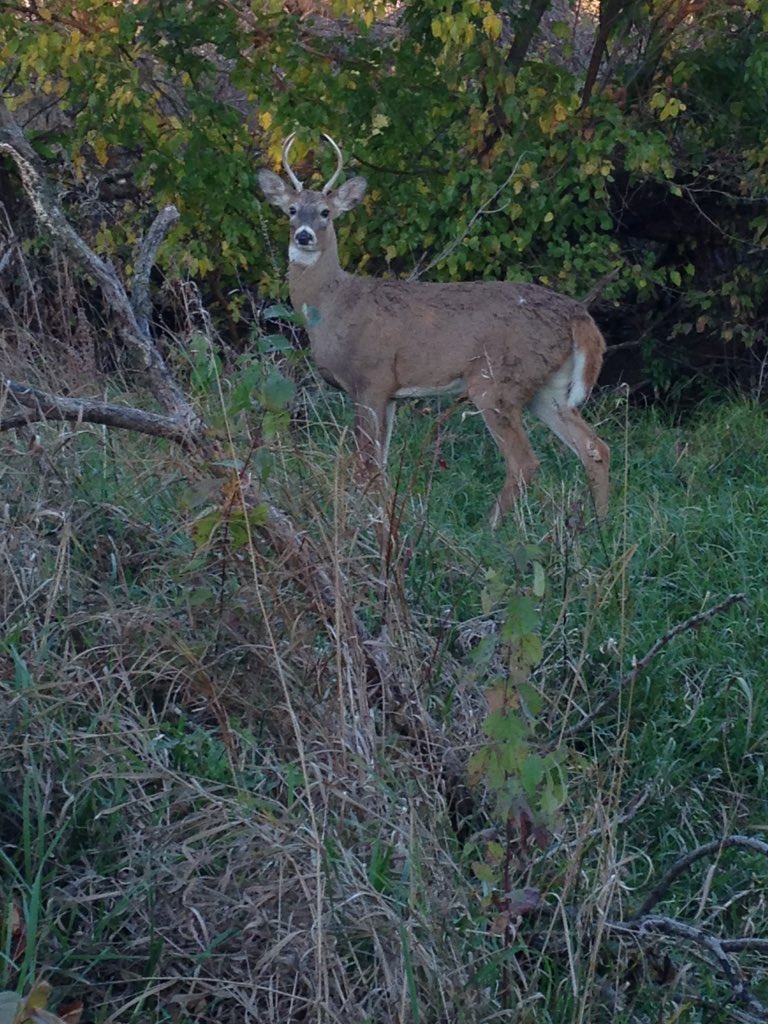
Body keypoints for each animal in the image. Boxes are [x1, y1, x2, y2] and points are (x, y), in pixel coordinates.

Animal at [258, 133, 610, 526]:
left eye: (325, 212)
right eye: (291, 210)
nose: (304, 236)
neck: (335, 304)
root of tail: (579, 316)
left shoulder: (370, 378)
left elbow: (367, 462)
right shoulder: (391, 394)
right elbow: (379, 462)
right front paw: (381, 513)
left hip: (496, 381)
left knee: (525, 462)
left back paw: (489, 528)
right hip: (548, 387)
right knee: (595, 447)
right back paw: (601, 526)